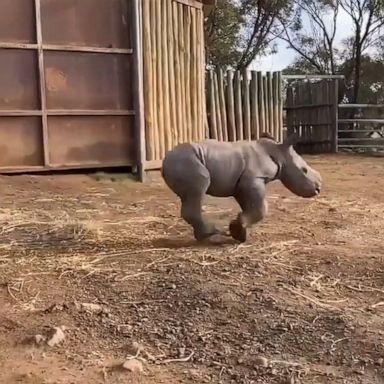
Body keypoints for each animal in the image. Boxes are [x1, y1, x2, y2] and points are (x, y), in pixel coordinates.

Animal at [160, 134, 322, 243]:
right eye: (304, 170)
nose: (319, 188)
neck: (279, 153)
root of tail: (164, 161)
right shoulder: (254, 178)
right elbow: (261, 208)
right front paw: (238, 230)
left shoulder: (242, 184)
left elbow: (252, 206)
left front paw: (241, 232)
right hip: (187, 162)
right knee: (200, 186)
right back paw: (211, 234)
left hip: (184, 162)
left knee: (188, 197)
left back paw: (205, 236)